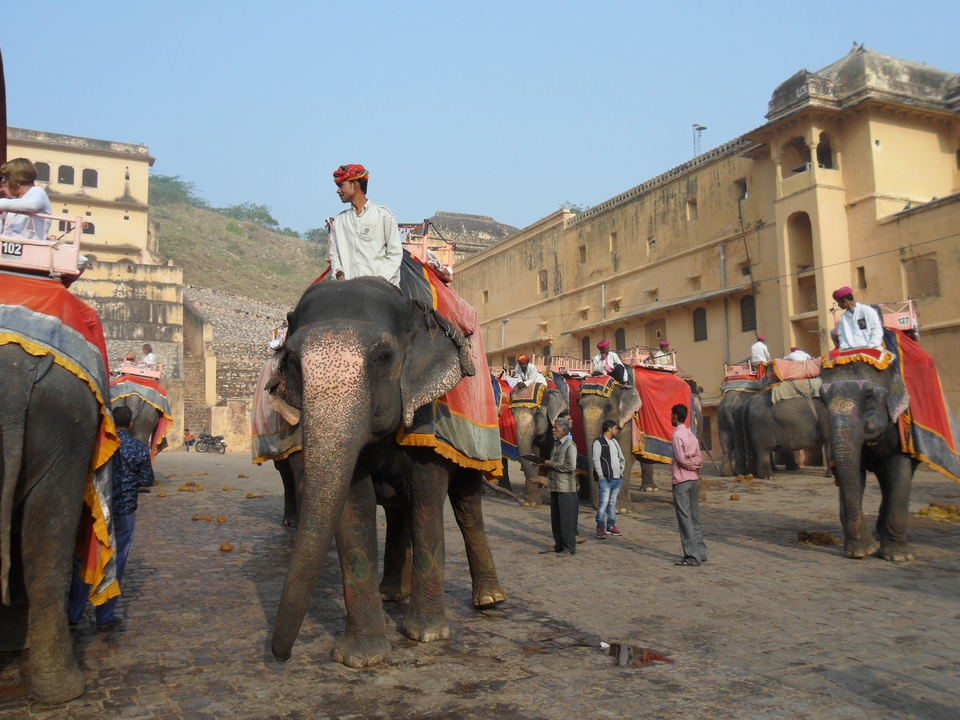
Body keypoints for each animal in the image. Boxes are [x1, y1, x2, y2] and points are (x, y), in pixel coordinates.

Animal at [266, 277, 506, 668]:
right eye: (291, 362)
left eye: (383, 358)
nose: (281, 656)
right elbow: (353, 507)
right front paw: (362, 658)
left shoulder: (427, 420)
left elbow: (427, 503)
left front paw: (427, 634)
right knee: (397, 513)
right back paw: (392, 593)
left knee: (467, 506)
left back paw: (489, 600)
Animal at [820, 359, 916, 561]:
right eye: (822, 400)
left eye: (870, 396)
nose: (854, 536)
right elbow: (855, 475)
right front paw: (861, 551)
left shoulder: (901, 431)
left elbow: (901, 472)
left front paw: (898, 556)